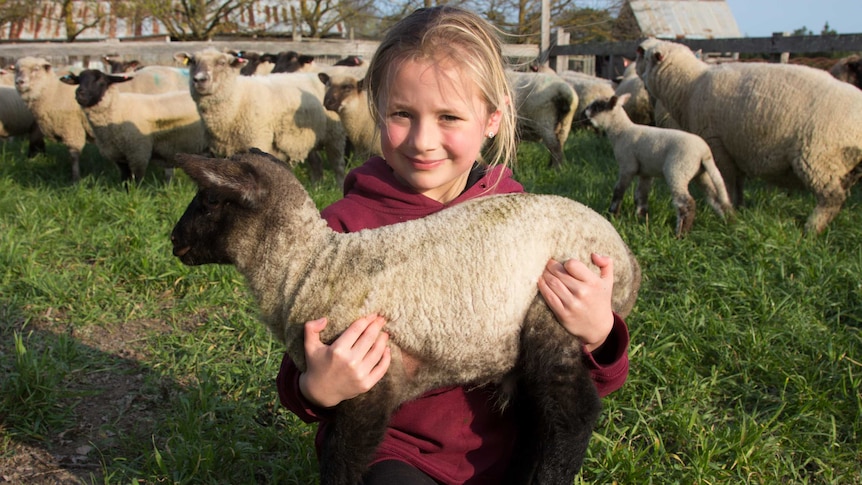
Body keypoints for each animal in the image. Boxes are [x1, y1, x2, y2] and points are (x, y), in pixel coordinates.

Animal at [60, 67, 207, 182]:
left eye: (101, 82)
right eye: (78, 81)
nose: (79, 94)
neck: (118, 109)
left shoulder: (138, 153)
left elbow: (137, 181)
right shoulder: (119, 156)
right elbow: (125, 180)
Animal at [172, 48, 348, 186]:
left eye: (221, 63)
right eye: (192, 62)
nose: (199, 79)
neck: (236, 98)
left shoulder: (257, 139)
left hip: (335, 135)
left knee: (338, 166)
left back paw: (338, 187)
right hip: (308, 137)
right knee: (316, 164)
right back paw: (316, 187)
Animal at [584, 92, 732, 236]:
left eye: (597, 106)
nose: (583, 113)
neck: (621, 131)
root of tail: (705, 152)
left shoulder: (628, 165)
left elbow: (619, 190)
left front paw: (612, 214)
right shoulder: (646, 172)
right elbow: (641, 195)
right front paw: (641, 218)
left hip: (677, 170)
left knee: (686, 203)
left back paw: (680, 234)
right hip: (701, 174)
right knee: (715, 198)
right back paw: (728, 221)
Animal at [636, 39, 862, 233]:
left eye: (643, 55)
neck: (688, 85)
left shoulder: (717, 145)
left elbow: (725, 182)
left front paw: (725, 206)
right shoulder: (735, 150)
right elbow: (737, 184)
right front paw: (739, 207)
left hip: (818, 157)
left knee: (832, 198)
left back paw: (812, 229)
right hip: (842, 166)